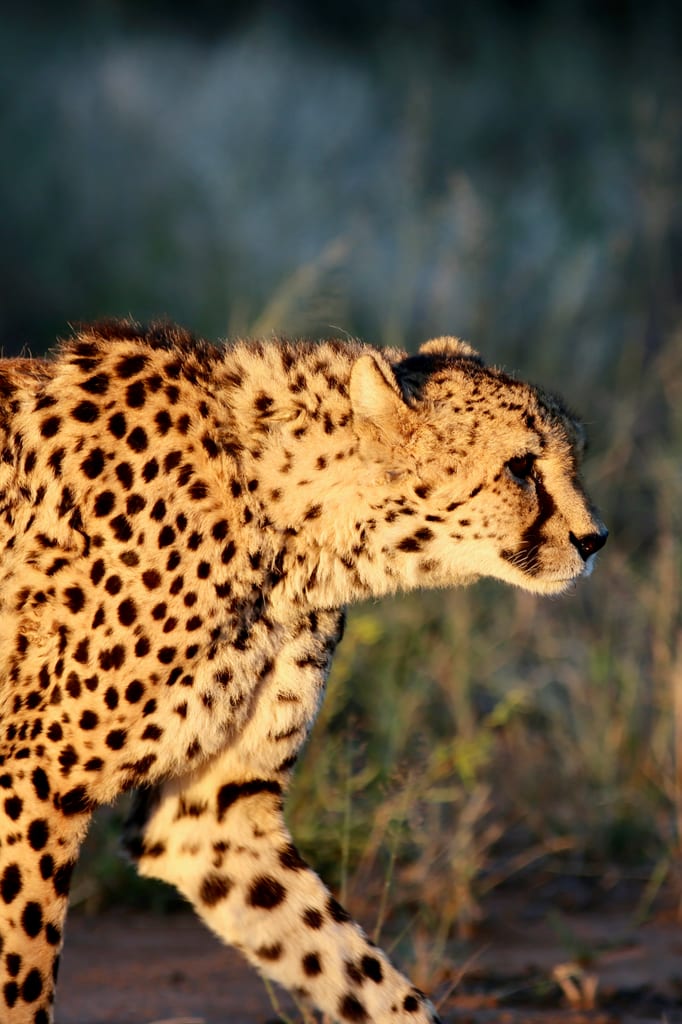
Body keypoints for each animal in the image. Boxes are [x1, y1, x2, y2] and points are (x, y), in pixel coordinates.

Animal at [0, 320, 607, 1024]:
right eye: (521, 467)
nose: (595, 540)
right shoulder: (33, 781)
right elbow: (22, 974)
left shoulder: (212, 817)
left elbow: (354, 970)